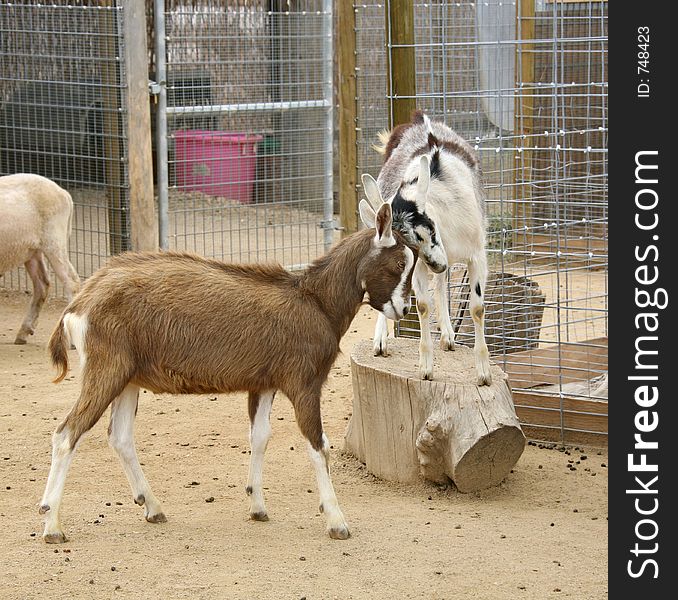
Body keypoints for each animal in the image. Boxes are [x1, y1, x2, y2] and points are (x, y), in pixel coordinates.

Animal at [0, 172, 81, 342]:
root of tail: (64, 193)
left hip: (54, 241)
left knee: (71, 282)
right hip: (32, 251)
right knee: (42, 285)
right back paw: (23, 331)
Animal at [39, 200, 418, 544]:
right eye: (400, 262)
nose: (402, 309)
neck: (316, 302)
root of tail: (79, 303)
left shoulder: (265, 384)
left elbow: (260, 437)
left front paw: (258, 507)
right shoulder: (304, 383)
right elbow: (318, 443)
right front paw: (337, 521)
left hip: (128, 378)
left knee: (119, 437)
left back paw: (152, 507)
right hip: (106, 368)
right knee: (66, 433)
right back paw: (52, 524)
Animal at [364, 109, 492, 384]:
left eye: (429, 230)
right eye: (408, 244)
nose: (437, 264)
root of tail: (417, 119)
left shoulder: (477, 254)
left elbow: (477, 309)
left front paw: (484, 374)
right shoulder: (419, 265)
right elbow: (423, 306)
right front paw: (425, 369)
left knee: (442, 283)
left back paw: (448, 336)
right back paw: (380, 342)